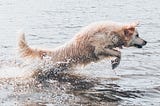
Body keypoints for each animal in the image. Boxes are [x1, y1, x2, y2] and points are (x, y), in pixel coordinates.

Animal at [18, 21, 147, 70]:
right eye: (137, 35)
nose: (146, 42)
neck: (115, 32)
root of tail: (52, 53)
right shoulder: (99, 48)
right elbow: (119, 53)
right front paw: (115, 63)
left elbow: (117, 52)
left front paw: (115, 62)